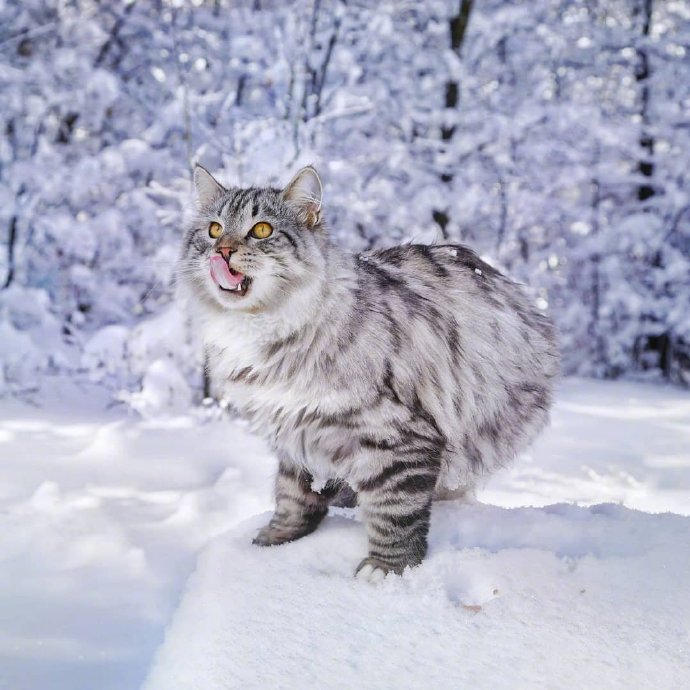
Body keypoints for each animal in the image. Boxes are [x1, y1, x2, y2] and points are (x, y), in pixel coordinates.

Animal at [179, 165, 560, 580]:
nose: (222, 251)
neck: (262, 332)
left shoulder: (399, 436)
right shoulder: (293, 429)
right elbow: (291, 495)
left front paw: (387, 569)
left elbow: (394, 513)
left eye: (262, 230)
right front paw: (276, 540)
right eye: (214, 229)